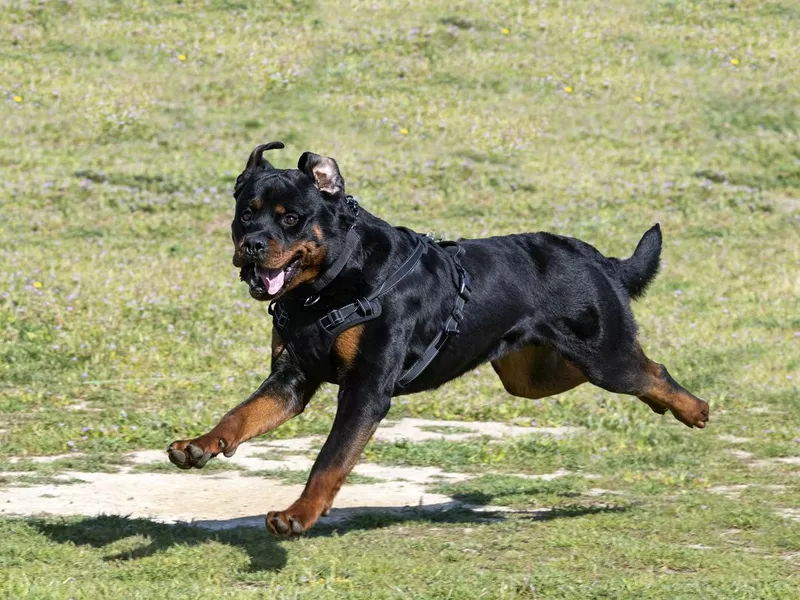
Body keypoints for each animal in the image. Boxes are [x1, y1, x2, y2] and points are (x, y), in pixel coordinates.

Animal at [167, 143, 708, 536]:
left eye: (290, 218)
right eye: (246, 213)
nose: (252, 245)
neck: (326, 290)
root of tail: (600, 260)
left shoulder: (366, 390)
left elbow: (329, 460)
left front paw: (297, 516)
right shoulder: (292, 380)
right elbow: (240, 415)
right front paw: (198, 446)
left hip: (601, 357)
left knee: (649, 370)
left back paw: (692, 408)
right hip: (532, 375)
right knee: (626, 373)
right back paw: (666, 406)